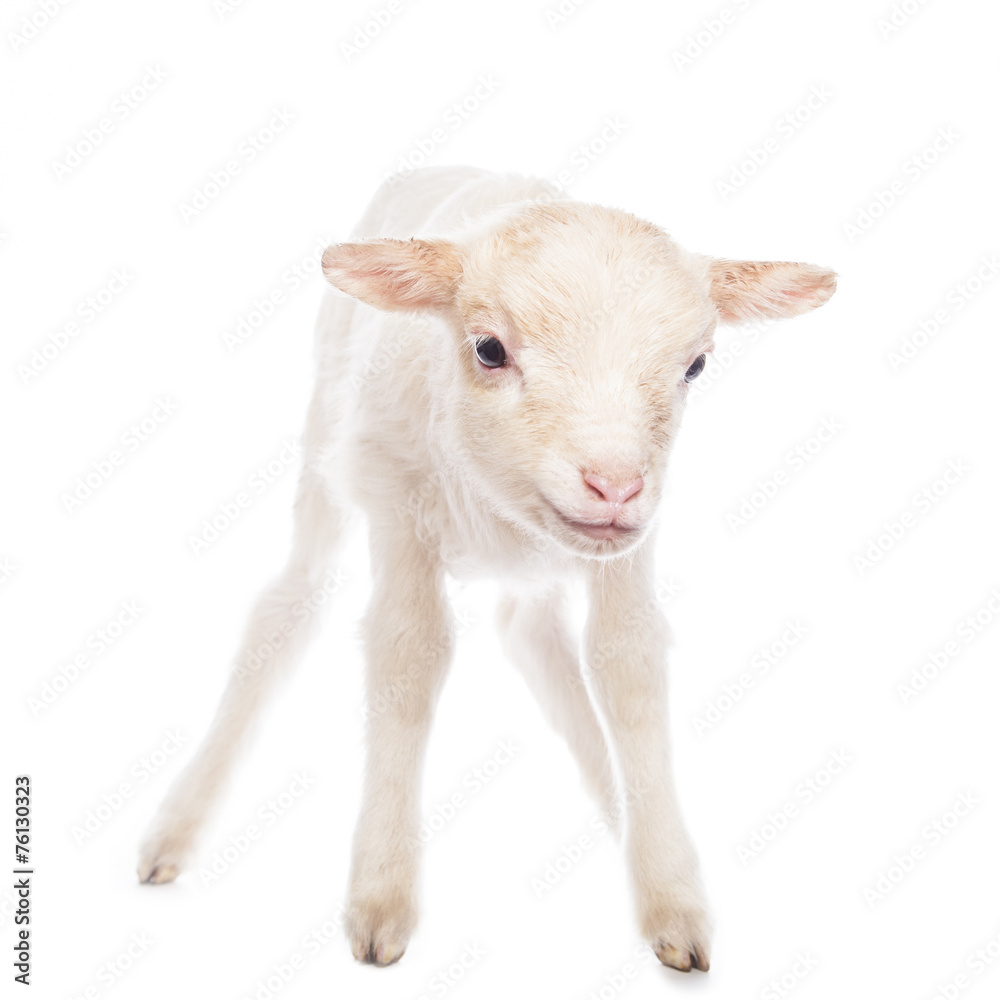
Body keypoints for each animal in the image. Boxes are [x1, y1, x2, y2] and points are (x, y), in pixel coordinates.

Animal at [138, 166, 836, 973]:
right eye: (489, 349)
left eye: (695, 364)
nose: (614, 486)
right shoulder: (394, 498)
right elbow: (408, 656)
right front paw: (381, 899)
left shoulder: (631, 546)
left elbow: (627, 664)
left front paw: (670, 892)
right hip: (325, 438)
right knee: (288, 605)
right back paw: (174, 832)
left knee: (534, 637)